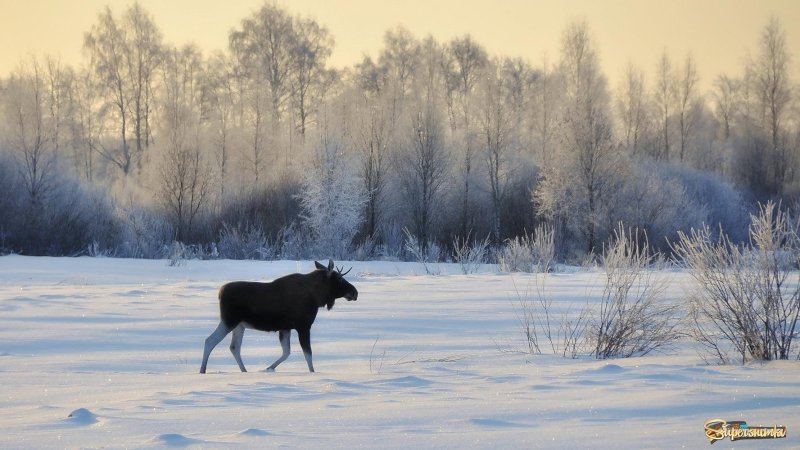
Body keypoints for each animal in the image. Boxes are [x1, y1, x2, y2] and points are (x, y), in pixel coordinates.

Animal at [200, 258, 360, 374]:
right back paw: (202, 370)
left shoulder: (285, 328)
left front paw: (269, 368)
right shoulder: (303, 326)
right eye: (339, 278)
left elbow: (286, 352)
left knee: (234, 347)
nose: (355, 292)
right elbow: (308, 354)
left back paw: (244, 370)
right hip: (229, 320)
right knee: (209, 341)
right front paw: (312, 373)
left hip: (239, 325)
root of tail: (220, 293)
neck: (316, 297)